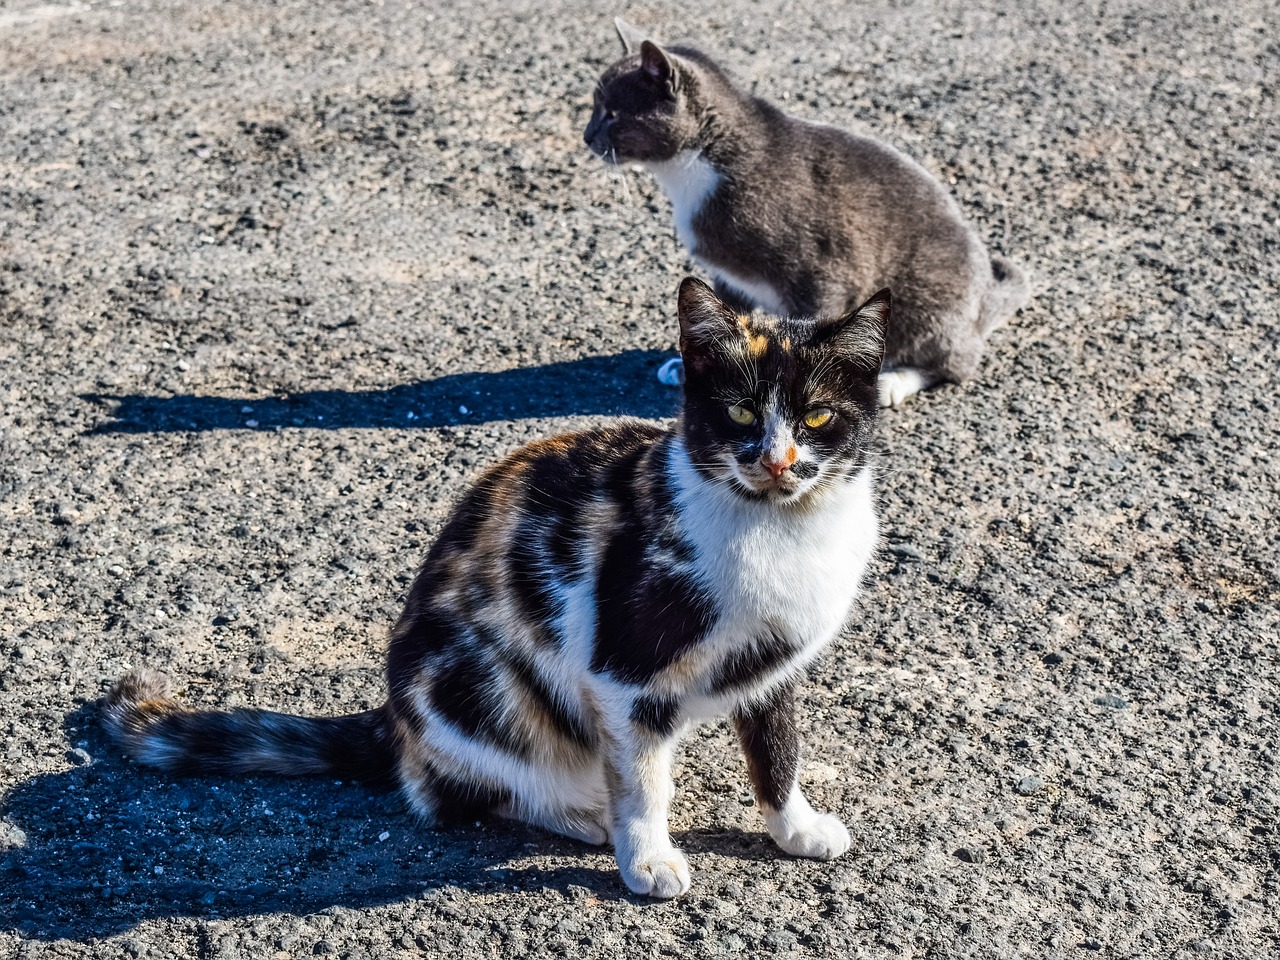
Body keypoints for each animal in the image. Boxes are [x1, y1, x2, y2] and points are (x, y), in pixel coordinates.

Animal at [102, 276, 890, 901]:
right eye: (741, 413)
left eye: (818, 415)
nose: (777, 461)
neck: (779, 534)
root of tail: (392, 717)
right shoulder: (623, 674)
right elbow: (642, 778)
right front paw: (649, 856)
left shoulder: (774, 661)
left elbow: (777, 749)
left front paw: (795, 827)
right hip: (481, 683)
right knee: (452, 795)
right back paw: (583, 816)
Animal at [586, 18, 1029, 407]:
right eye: (596, 108)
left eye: (612, 114)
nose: (587, 135)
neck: (698, 166)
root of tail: (984, 298)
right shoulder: (729, 274)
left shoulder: (822, 270)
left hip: (928, 301)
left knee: (954, 361)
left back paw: (894, 381)